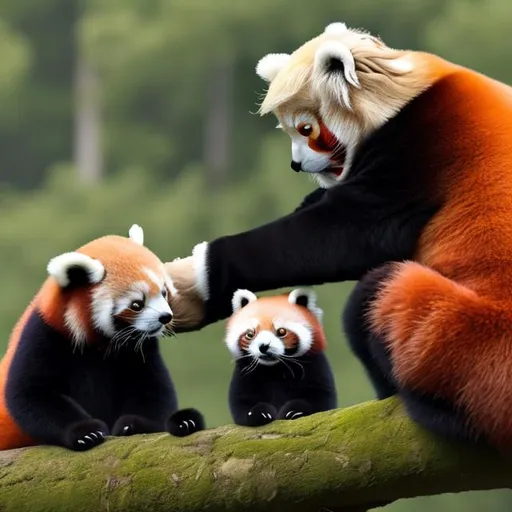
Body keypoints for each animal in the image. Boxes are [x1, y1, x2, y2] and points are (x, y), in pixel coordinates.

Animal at [0, 224, 204, 452]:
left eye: (163, 293)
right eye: (136, 304)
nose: (165, 317)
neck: (98, 344)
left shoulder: (138, 348)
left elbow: (153, 387)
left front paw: (134, 425)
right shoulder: (44, 335)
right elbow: (30, 393)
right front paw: (85, 432)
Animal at [226, 286, 338, 426]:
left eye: (281, 331)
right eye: (250, 334)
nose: (263, 346)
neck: (276, 369)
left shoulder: (315, 366)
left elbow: (319, 398)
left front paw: (295, 411)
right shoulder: (245, 373)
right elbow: (242, 400)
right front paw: (258, 413)